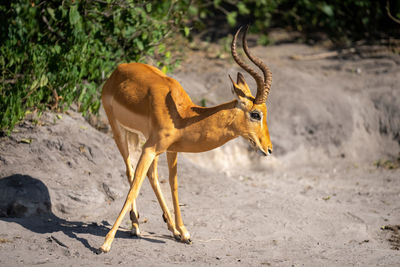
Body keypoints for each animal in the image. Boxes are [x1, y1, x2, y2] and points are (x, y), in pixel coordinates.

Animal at [99, 26, 274, 254]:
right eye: (255, 114)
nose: (269, 149)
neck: (184, 116)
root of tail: (118, 70)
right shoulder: (151, 148)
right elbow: (134, 187)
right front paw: (106, 243)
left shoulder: (171, 149)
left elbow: (173, 185)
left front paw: (184, 233)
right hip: (118, 129)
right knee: (131, 171)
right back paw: (135, 227)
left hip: (145, 140)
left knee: (152, 175)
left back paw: (167, 228)